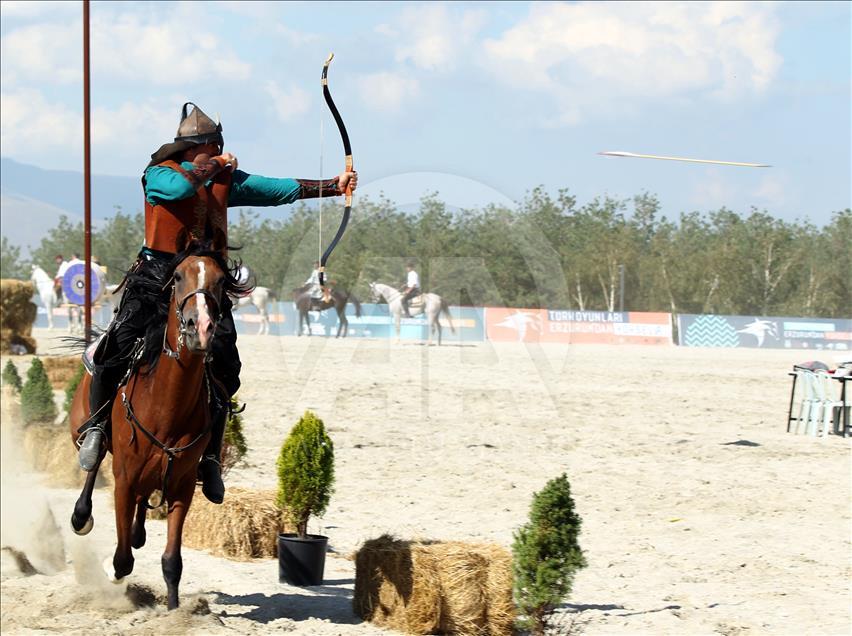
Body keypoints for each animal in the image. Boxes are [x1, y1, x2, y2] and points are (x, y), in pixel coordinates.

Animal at [68, 234, 245, 612]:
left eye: (221, 282)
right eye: (176, 277)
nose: (201, 327)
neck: (167, 408)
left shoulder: (181, 486)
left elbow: (172, 561)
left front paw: (176, 612)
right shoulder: (123, 480)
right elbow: (122, 560)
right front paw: (113, 574)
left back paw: (138, 532)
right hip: (85, 432)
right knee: (94, 458)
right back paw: (81, 514)